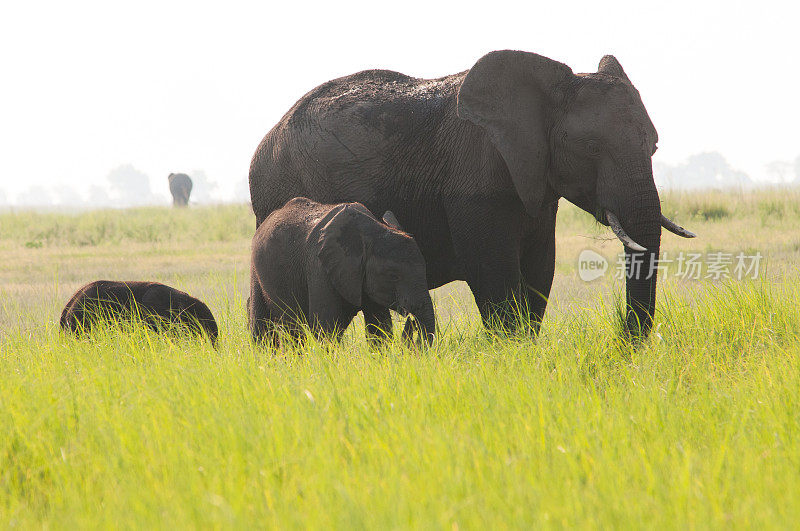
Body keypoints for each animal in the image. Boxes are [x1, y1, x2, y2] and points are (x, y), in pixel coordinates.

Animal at [250, 197, 438, 348]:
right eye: (393, 276)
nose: (412, 322)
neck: (371, 232)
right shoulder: (319, 267)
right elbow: (325, 327)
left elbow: (379, 327)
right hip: (256, 268)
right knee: (266, 324)